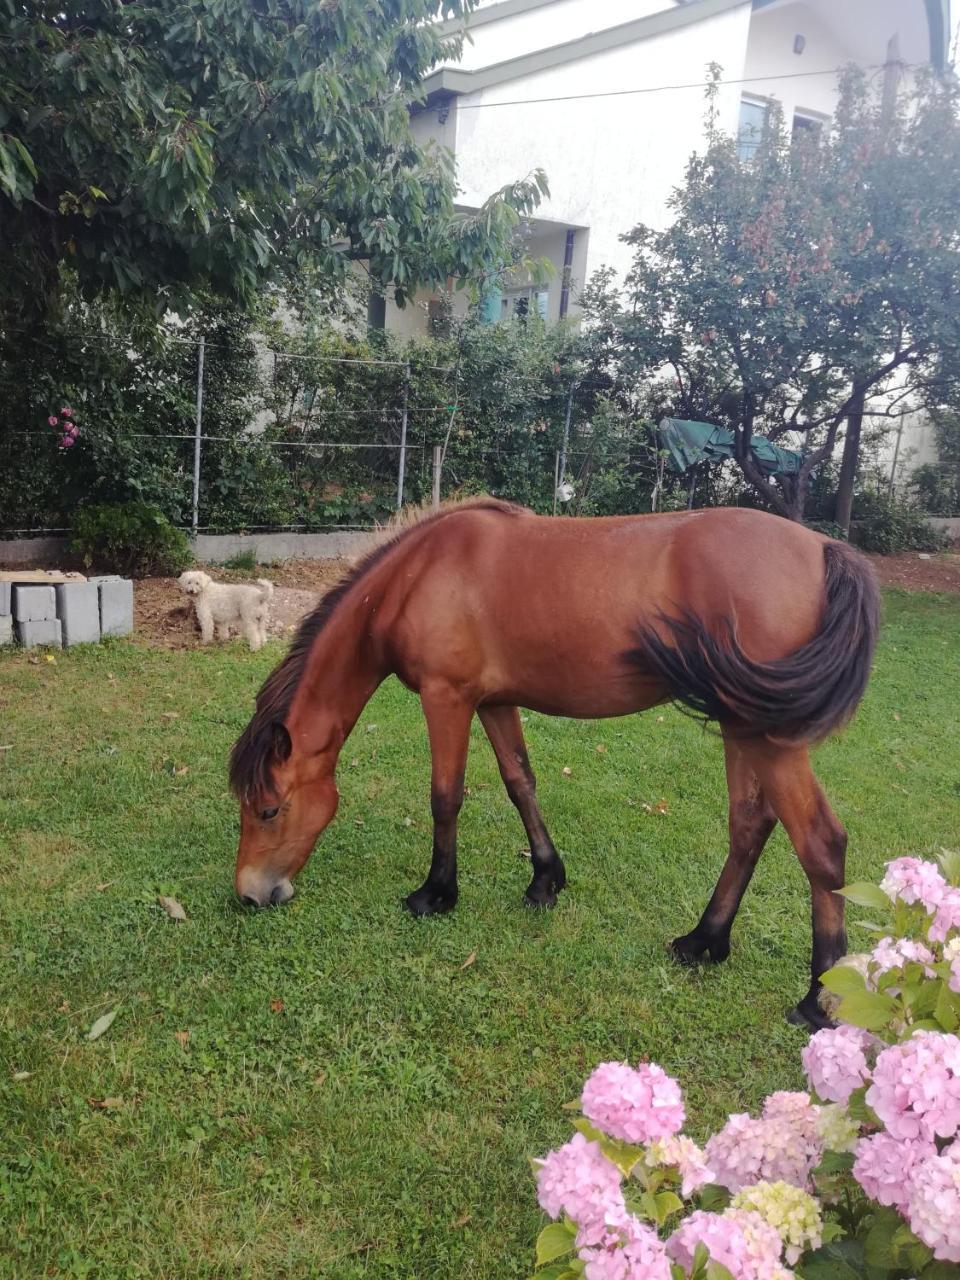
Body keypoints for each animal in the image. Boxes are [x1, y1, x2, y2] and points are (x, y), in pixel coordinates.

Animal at [231, 499, 880, 1029]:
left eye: (269, 810)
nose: (249, 896)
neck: (417, 576)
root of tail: (822, 548)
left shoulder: (447, 698)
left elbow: (446, 796)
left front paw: (436, 894)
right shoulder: (493, 702)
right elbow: (520, 782)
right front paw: (545, 879)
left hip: (766, 735)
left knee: (820, 842)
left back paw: (817, 1002)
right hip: (739, 726)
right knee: (749, 824)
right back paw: (703, 941)